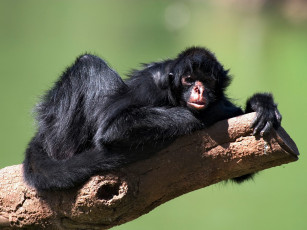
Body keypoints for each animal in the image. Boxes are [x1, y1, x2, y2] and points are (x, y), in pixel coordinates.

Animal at [22, 46, 282, 190]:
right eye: (189, 80)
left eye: (206, 81)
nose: (199, 90)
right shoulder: (151, 84)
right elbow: (113, 128)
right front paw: (215, 112)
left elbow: (241, 170)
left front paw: (261, 104)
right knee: (89, 63)